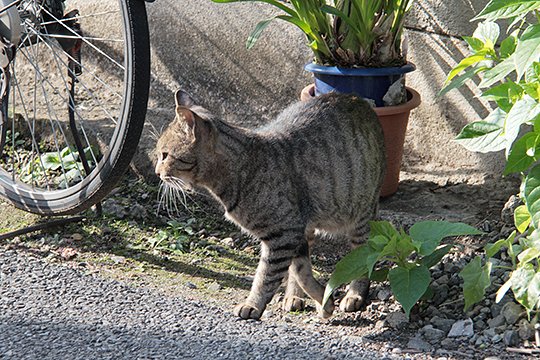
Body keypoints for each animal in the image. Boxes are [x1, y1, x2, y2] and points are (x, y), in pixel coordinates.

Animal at [154, 90, 386, 320]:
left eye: (165, 155)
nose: (157, 172)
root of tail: (359, 100)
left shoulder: (283, 234)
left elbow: (266, 276)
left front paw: (252, 305)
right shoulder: (293, 232)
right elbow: (300, 270)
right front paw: (324, 301)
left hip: (362, 215)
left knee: (364, 256)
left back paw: (354, 294)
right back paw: (293, 297)